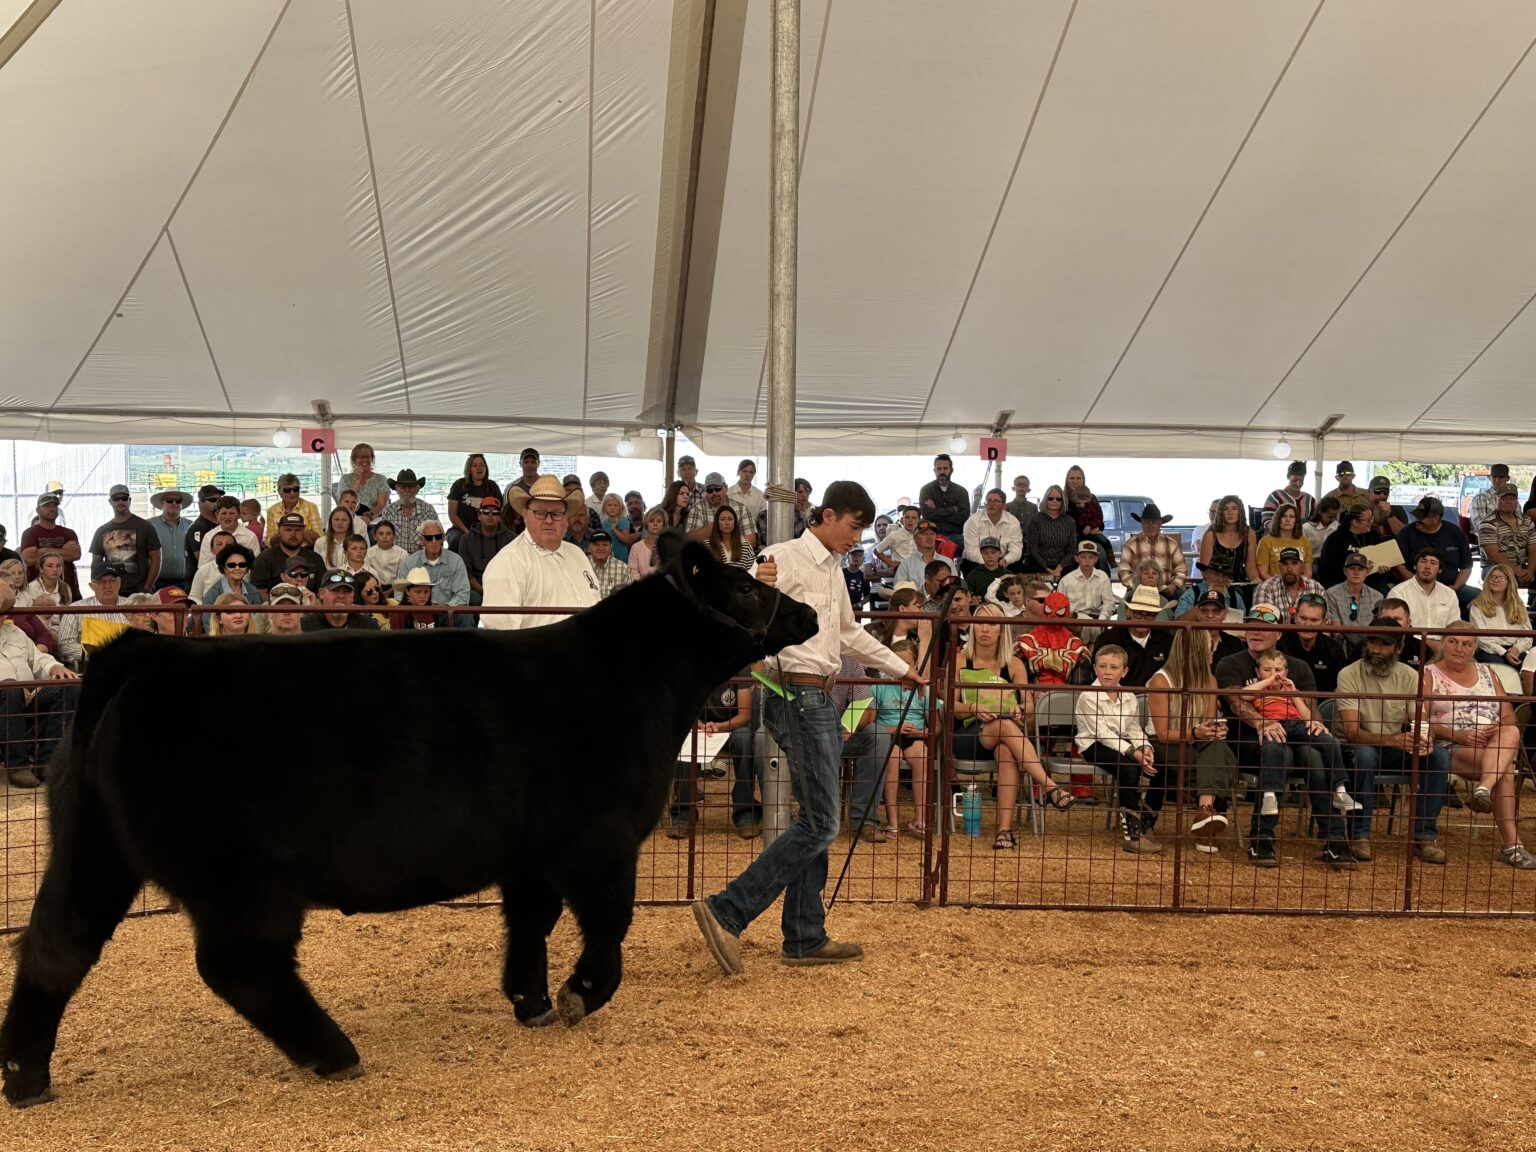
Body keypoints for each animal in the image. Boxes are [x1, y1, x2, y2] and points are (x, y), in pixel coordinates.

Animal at [0, 538, 815, 1107]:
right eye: (745, 583)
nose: (805, 611)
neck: (635, 675)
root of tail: (143, 653)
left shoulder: (528, 853)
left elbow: (530, 921)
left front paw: (530, 1002)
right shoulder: (600, 840)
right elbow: (607, 926)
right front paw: (580, 994)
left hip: (93, 848)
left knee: (54, 946)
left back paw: (25, 1077)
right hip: (240, 877)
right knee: (237, 964)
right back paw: (334, 1053)